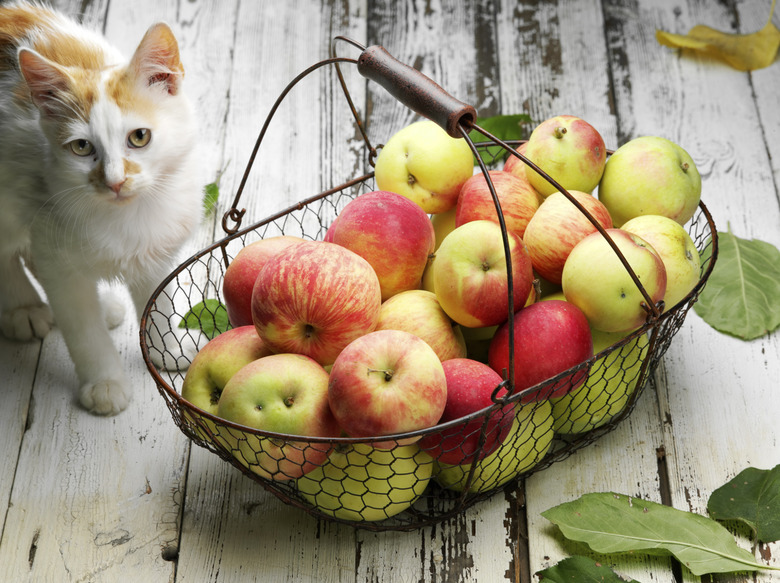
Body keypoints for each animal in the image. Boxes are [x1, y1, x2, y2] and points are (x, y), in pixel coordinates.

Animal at [0, 2, 204, 418]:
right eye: (81, 148)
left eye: (139, 137)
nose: (115, 181)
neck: (130, 216)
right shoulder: (54, 245)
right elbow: (83, 330)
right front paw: (104, 384)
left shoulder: (157, 250)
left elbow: (156, 303)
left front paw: (166, 349)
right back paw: (23, 308)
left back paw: (106, 305)